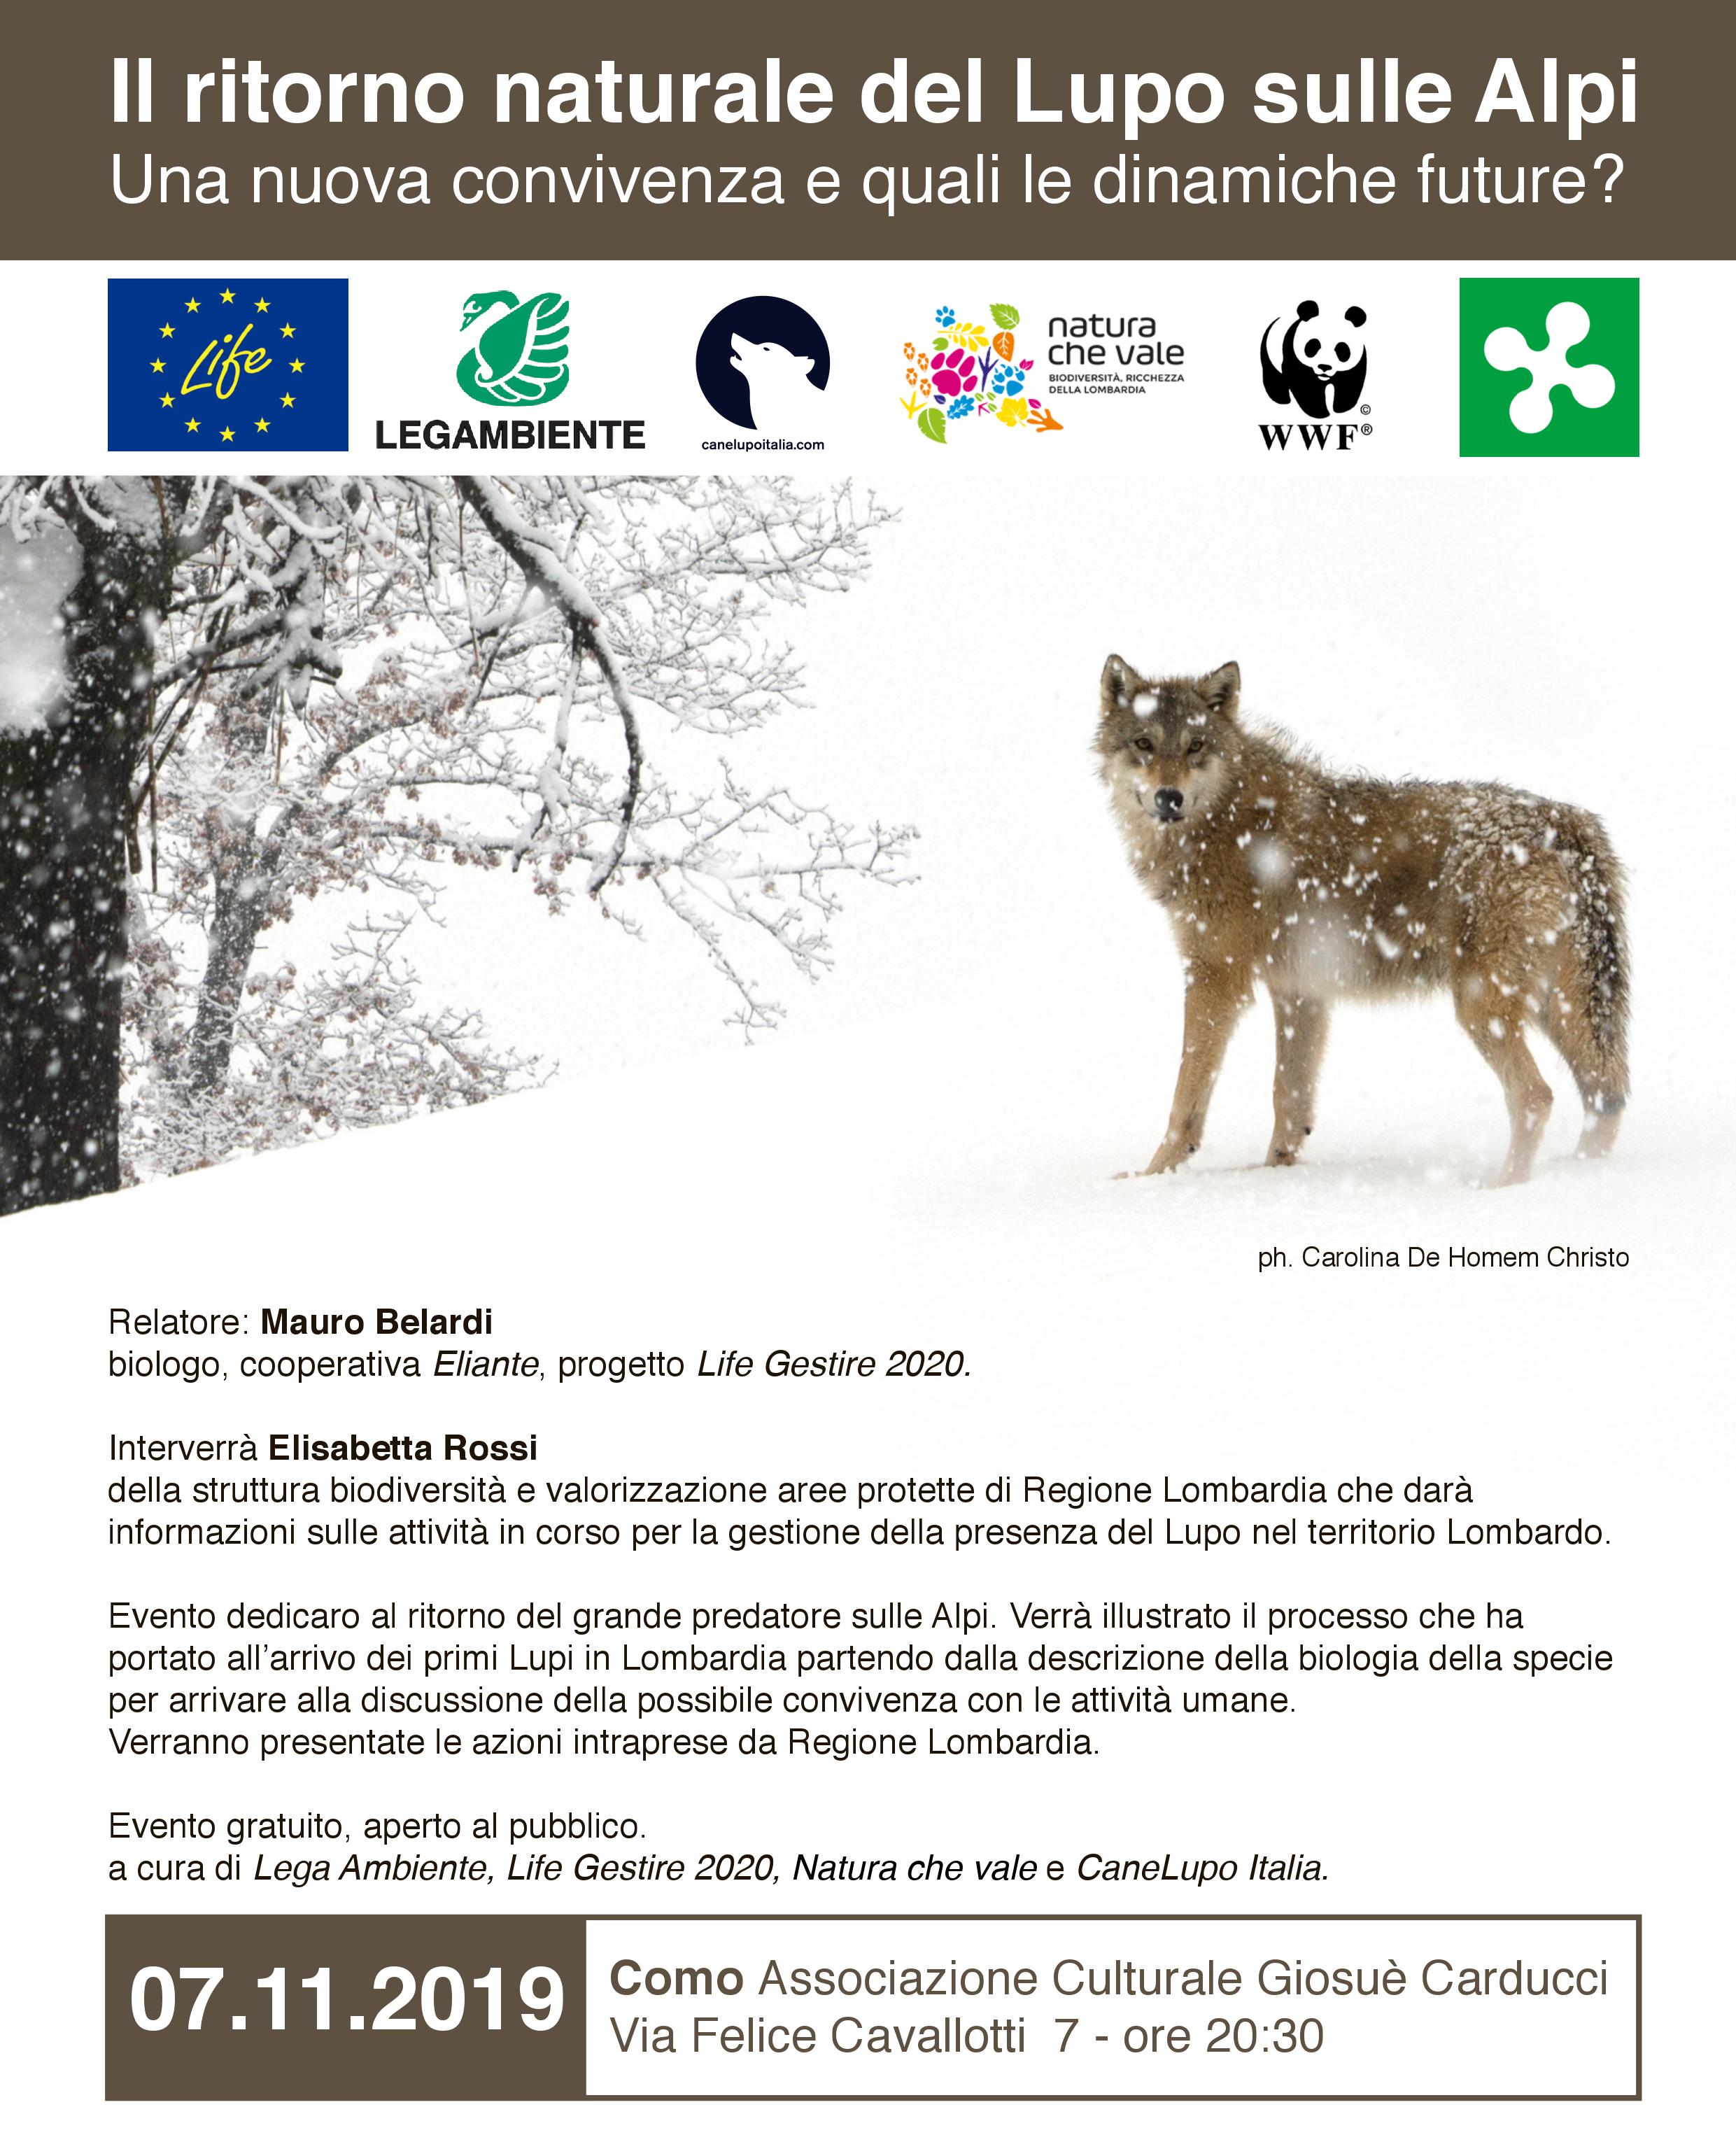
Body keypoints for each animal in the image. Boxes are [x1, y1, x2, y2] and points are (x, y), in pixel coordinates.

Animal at [1096, 656, 1629, 1186]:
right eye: (1143, 744)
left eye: (1195, 746)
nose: (1168, 798)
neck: (1221, 821)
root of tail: (1567, 825)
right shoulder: (1299, 990)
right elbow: (1289, 1101)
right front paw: (1273, 1175)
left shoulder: (1215, 979)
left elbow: (1185, 1098)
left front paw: (1150, 1177)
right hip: (1559, 1008)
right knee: (1607, 1095)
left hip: (1484, 1005)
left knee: (1537, 1096)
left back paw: (1501, 1187)